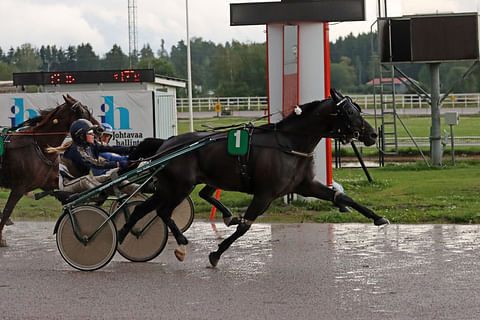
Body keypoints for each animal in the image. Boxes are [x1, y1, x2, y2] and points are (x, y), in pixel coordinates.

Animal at [0, 94, 99, 245]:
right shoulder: (19, 188)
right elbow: (6, 212)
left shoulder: (49, 182)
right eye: (81, 112)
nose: (99, 128)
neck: (39, 146)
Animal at [119, 89, 390, 266]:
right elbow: (244, 226)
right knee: (163, 211)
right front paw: (216, 254)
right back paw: (180, 243)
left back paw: (123, 235)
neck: (289, 143)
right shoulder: (265, 194)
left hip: (168, 187)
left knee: (142, 209)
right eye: (348, 111)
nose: (372, 134)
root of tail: (166, 144)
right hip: (180, 187)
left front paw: (378, 218)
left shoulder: (306, 185)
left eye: (358, 108)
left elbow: (341, 197)